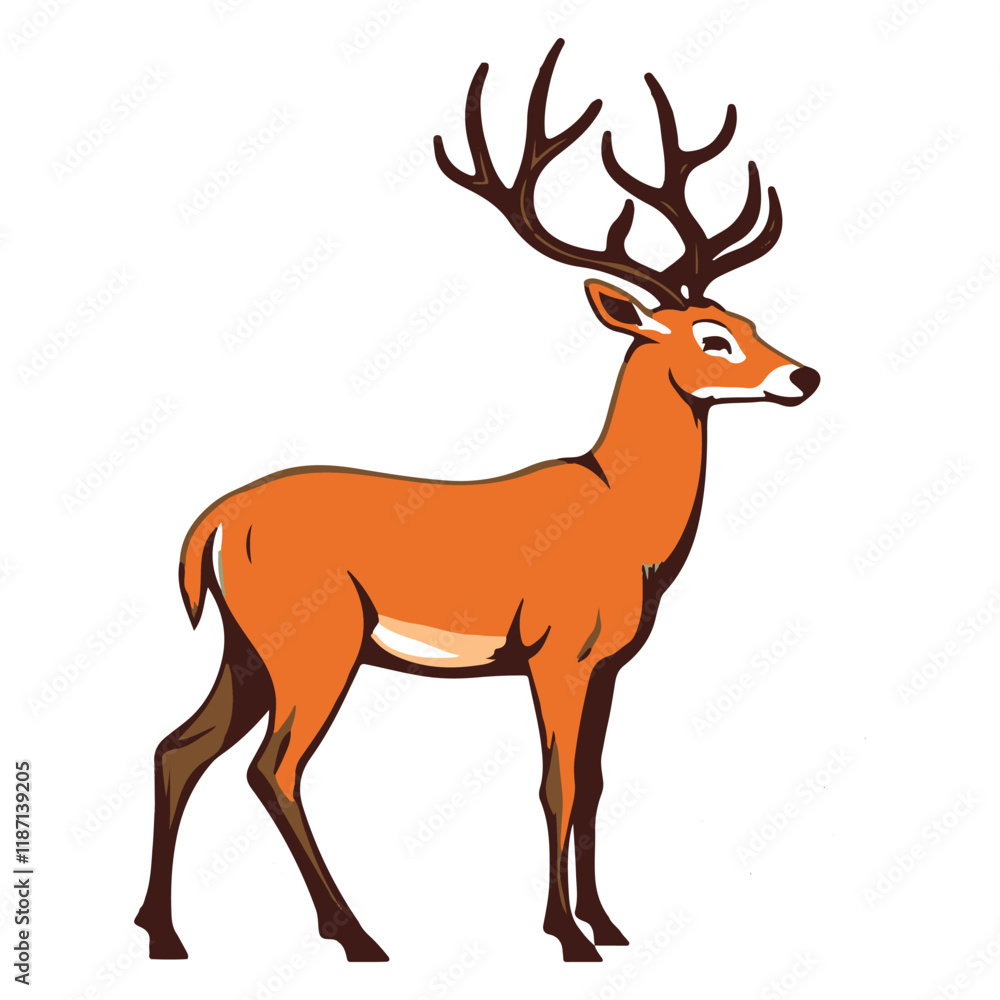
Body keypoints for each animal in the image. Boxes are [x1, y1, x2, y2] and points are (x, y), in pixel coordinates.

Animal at [135, 38, 819, 964]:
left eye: (747, 322)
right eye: (711, 338)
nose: (803, 375)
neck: (625, 521)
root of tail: (212, 523)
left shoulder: (608, 664)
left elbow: (594, 783)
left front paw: (610, 925)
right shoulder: (557, 650)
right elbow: (555, 784)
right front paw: (566, 936)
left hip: (247, 645)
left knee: (179, 748)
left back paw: (165, 935)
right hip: (315, 638)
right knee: (271, 767)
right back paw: (357, 935)